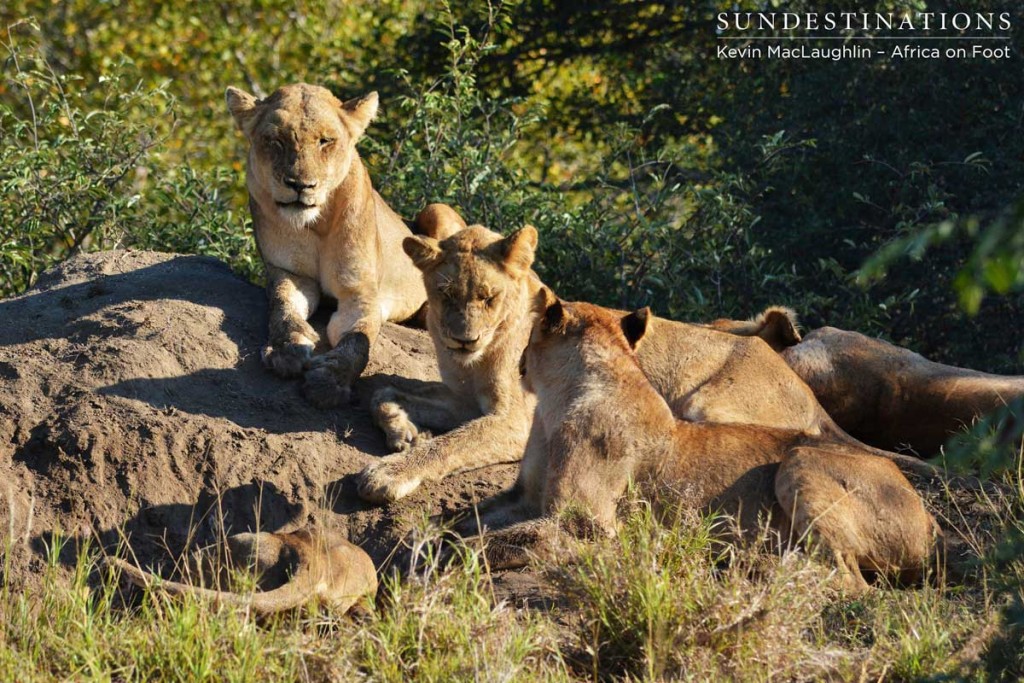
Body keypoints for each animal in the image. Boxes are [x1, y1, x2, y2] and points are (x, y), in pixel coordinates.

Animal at [228, 82, 464, 409]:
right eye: (276, 141)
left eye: (325, 141)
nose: (300, 185)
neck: (315, 224)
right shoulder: (290, 274)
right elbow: (282, 306)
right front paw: (287, 348)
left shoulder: (360, 292)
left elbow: (358, 339)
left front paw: (329, 381)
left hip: (437, 209)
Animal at [354, 224, 937, 501]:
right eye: (445, 295)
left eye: (488, 297)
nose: (463, 338)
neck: (475, 361)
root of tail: (809, 395)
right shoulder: (459, 395)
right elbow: (384, 388)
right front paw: (401, 430)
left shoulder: (513, 417)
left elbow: (454, 443)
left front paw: (387, 475)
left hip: (710, 403)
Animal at [468, 296, 937, 593]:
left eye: (529, 336)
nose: (518, 362)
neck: (554, 401)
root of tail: (928, 522)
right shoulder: (523, 497)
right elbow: (468, 520)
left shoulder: (585, 523)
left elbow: (493, 543)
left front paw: (455, 556)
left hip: (800, 458)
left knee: (852, 582)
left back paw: (752, 566)